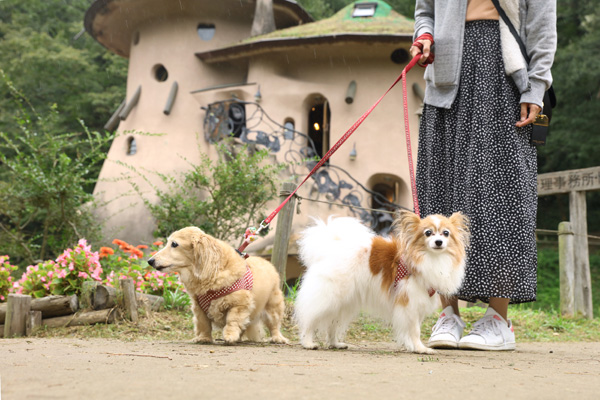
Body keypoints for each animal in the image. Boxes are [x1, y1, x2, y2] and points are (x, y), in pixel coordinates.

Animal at [294, 209, 468, 354]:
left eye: (446, 233)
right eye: (428, 233)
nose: (439, 242)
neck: (430, 258)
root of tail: (331, 246)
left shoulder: (417, 302)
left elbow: (412, 328)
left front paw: (412, 347)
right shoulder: (409, 303)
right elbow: (415, 330)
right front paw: (420, 348)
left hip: (343, 302)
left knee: (333, 323)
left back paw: (335, 344)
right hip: (328, 297)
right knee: (310, 318)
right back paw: (308, 342)